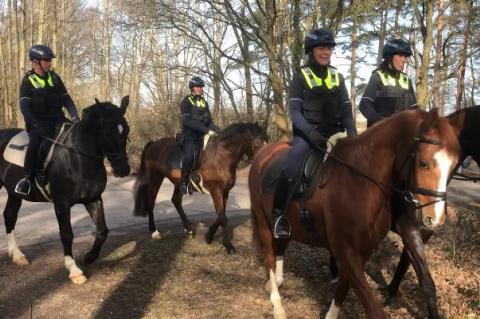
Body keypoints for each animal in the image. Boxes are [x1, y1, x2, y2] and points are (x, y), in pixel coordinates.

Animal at [0, 95, 130, 284]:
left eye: (126, 130)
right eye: (107, 133)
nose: (123, 169)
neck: (77, 157)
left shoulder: (93, 199)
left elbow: (102, 231)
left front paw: (88, 257)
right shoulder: (61, 203)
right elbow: (67, 234)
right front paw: (74, 270)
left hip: (14, 193)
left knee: (9, 216)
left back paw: (17, 255)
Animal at [132, 124, 266, 254]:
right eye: (255, 145)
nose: (262, 164)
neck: (221, 157)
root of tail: (154, 143)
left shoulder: (225, 192)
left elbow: (221, 215)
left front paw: (209, 236)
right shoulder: (216, 191)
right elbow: (222, 217)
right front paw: (227, 245)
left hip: (179, 184)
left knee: (176, 201)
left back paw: (189, 229)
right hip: (156, 179)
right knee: (151, 201)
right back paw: (155, 232)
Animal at [249, 110, 460, 319]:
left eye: (454, 166)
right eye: (424, 164)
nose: (435, 219)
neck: (359, 182)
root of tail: (263, 154)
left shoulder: (363, 251)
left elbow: (342, 290)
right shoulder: (347, 252)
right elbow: (374, 309)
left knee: (280, 248)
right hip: (263, 222)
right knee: (269, 256)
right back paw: (277, 305)